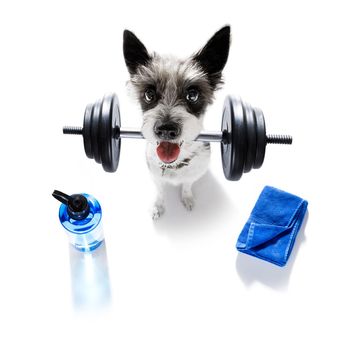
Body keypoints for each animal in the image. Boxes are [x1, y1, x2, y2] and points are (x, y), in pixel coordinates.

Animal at [123, 26, 230, 219]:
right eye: (149, 94)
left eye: (192, 95)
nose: (166, 130)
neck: (174, 164)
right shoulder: (155, 176)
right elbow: (160, 192)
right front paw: (158, 206)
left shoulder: (192, 175)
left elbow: (187, 185)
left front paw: (187, 198)